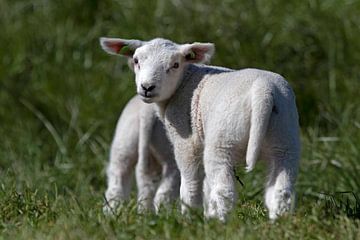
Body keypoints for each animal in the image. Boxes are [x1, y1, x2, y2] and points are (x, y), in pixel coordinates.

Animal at [100, 37, 300, 221]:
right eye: (136, 60)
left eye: (175, 65)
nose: (147, 87)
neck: (185, 79)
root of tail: (263, 91)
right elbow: (205, 186)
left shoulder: (186, 139)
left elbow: (191, 183)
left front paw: (191, 217)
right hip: (285, 137)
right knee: (282, 189)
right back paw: (279, 222)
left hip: (224, 139)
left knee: (222, 189)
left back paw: (218, 223)